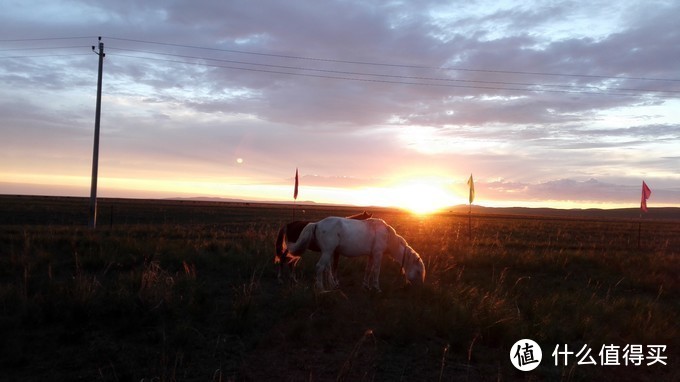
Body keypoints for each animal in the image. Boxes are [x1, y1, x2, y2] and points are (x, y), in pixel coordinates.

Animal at [286, 216, 424, 290]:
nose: (419, 287)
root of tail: (317, 224)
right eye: (418, 271)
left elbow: (368, 270)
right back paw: (321, 288)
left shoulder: (371, 255)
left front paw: (366, 286)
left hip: (328, 253)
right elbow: (376, 271)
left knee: (326, 268)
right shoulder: (378, 254)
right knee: (320, 267)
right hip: (327, 252)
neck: (388, 236)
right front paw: (376, 288)